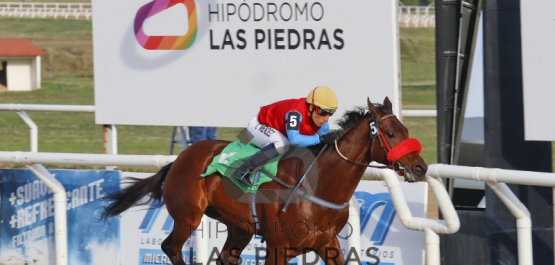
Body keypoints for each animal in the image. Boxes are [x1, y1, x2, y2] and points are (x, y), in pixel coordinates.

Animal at [102, 97, 428, 264]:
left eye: (406, 129)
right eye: (390, 134)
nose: (420, 167)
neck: (319, 187)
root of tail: (179, 159)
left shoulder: (328, 243)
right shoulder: (278, 247)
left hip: (240, 227)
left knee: (225, 257)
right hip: (187, 216)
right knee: (171, 247)